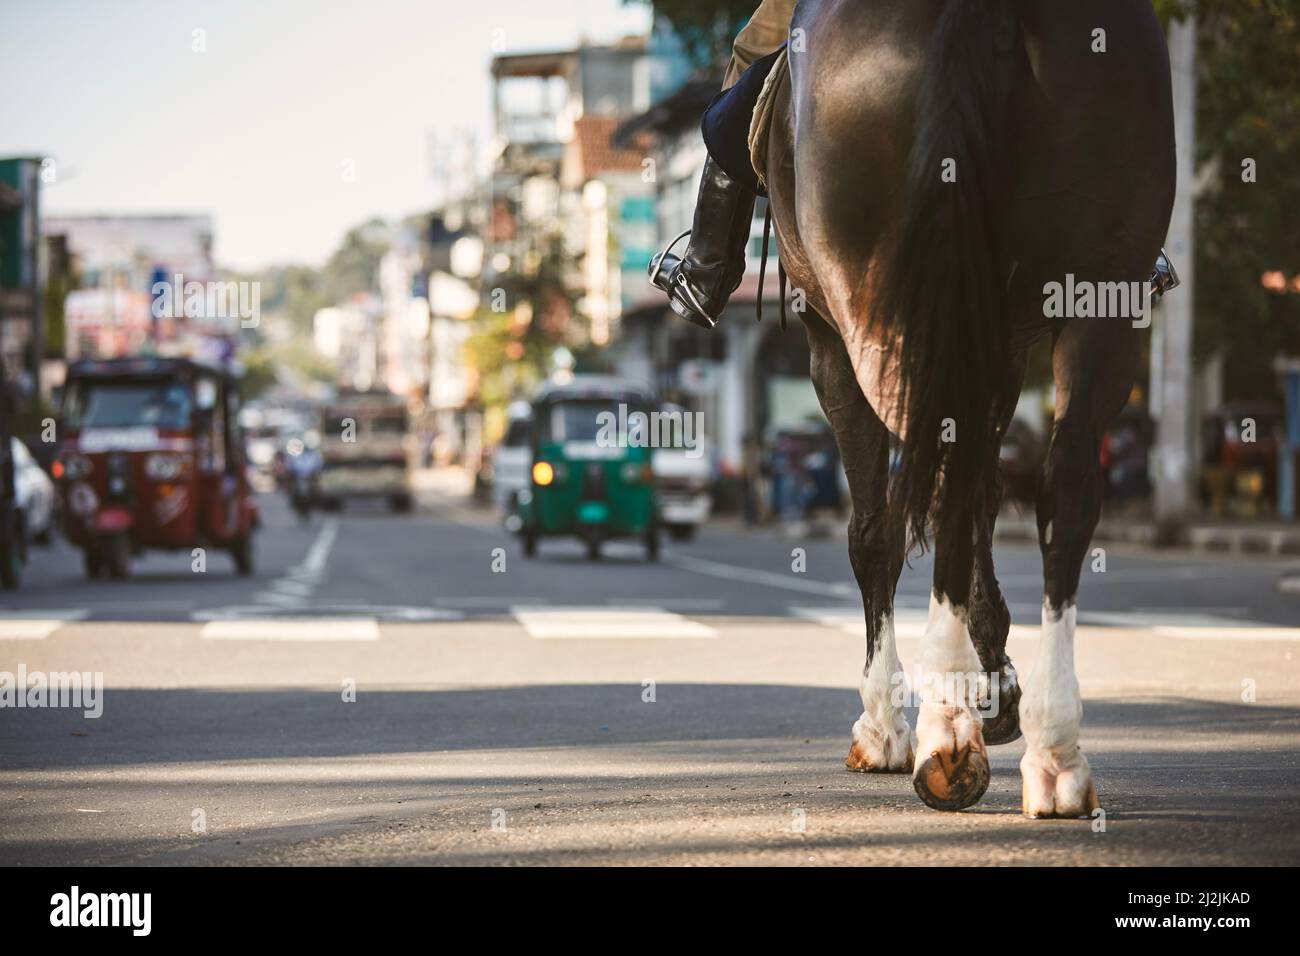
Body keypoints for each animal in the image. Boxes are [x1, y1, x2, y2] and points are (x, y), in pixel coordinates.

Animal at [763, 0, 1175, 815]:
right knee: (1061, 483)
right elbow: (985, 486)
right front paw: (999, 687)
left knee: (929, 486)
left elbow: (879, 528)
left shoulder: (828, 338)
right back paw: (1053, 750)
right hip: (1101, 293)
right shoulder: (1004, 340)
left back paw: (946, 728)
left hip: (872, 311)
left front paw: (891, 723)